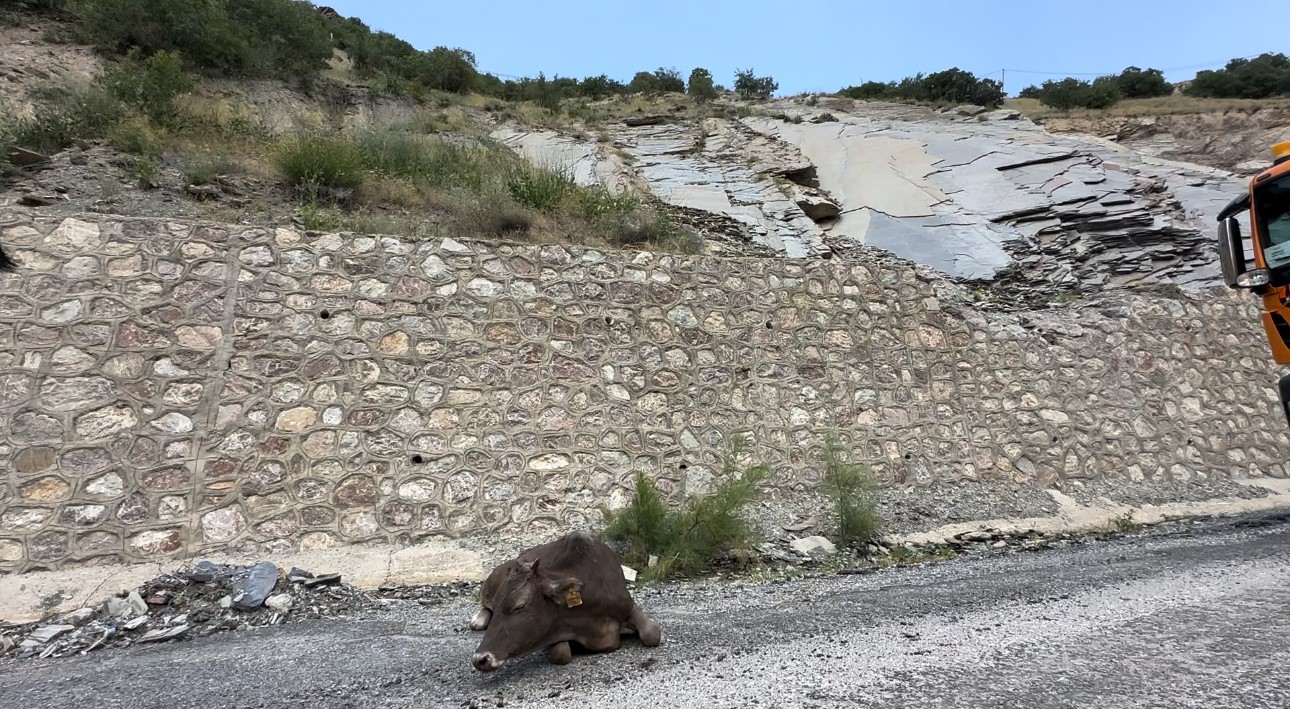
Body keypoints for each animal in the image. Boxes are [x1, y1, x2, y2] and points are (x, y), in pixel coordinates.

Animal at [466, 531, 665, 675]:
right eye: (499, 603)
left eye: (519, 606)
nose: (480, 659)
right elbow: (561, 653)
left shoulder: (626, 606)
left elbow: (652, 634)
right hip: (491, 581)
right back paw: (478, 620)